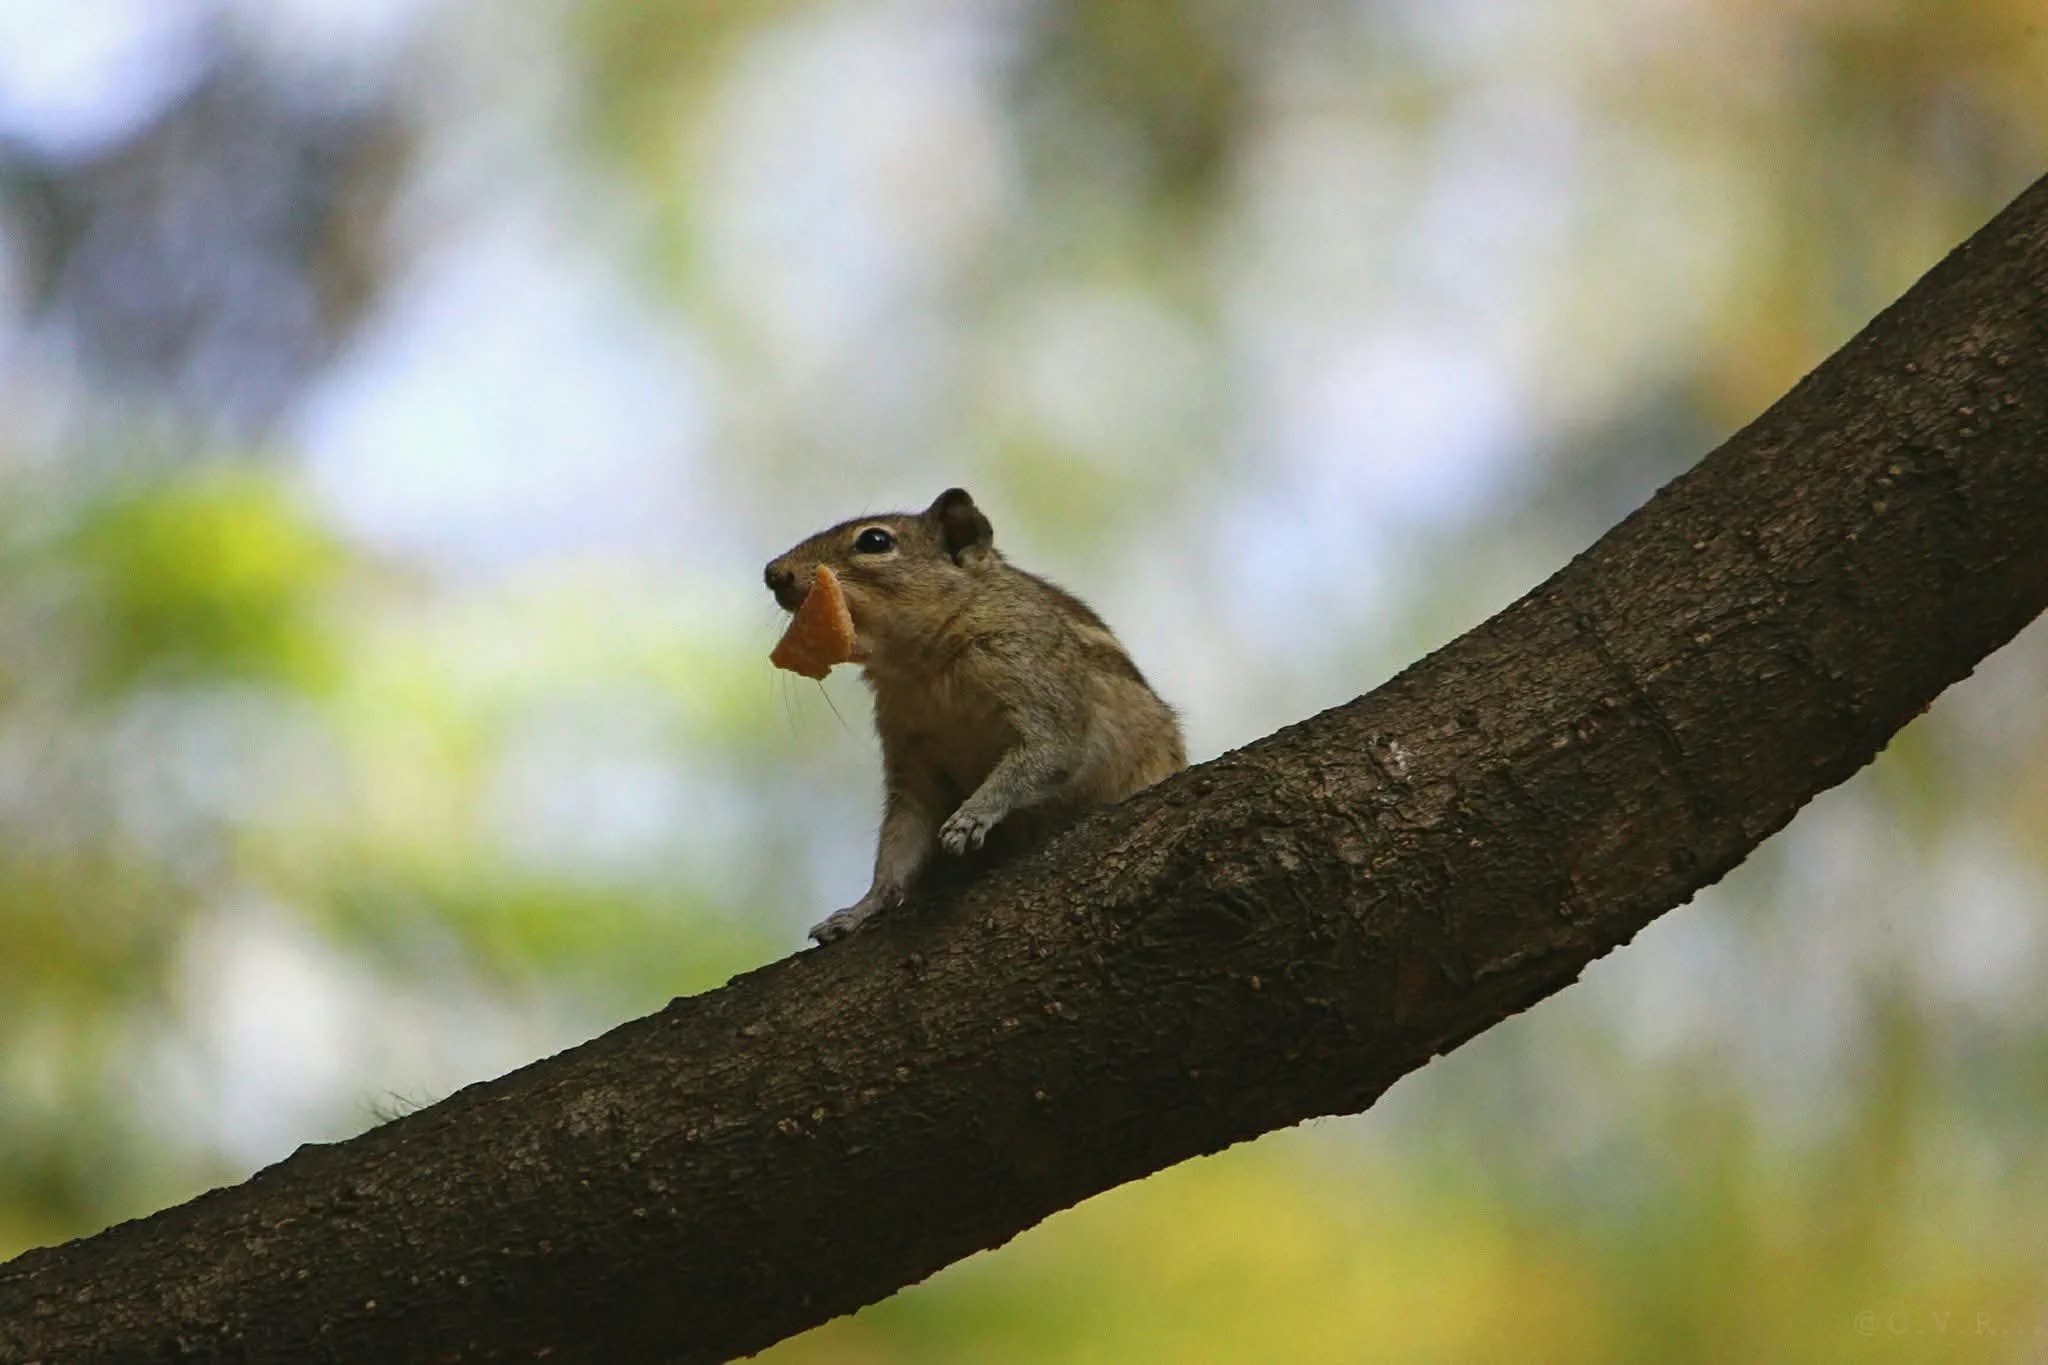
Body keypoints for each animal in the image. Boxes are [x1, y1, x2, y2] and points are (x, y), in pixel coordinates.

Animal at [765, 488, 1186, 943]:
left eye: (875, 541)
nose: (773, 574)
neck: (925, 666)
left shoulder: (1037, 678)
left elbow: (1049, 752)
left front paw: (971, 816)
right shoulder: (910, 756)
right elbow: (901, 838)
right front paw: (862, 908)